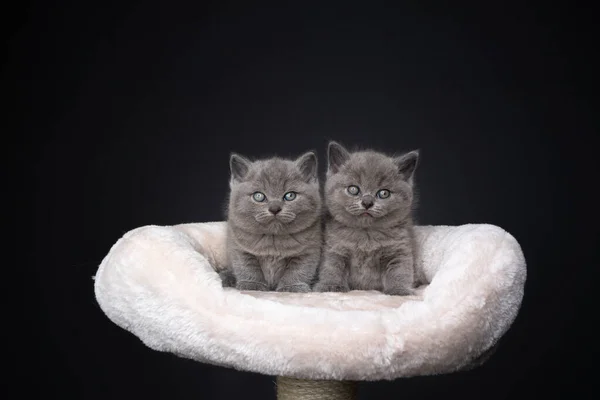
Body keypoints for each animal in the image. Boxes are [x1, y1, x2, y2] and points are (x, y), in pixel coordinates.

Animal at [221, 152, 324, 292]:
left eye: (290, 195)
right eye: (258, 196)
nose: (274, 208)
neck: (273, 240)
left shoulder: (309, 250)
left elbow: (298, 270)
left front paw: (291, 287)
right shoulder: (239, 247)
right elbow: (247, 267)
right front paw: (252, 285)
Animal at [314, 142, 422, 296]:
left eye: (384, 193)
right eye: (353, 189)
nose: (367, 202)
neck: (366, 235)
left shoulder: (399, 249)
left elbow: (400, 271)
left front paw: (399, 291)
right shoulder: (334, 247)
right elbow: (331, 267)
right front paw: (330, 287)